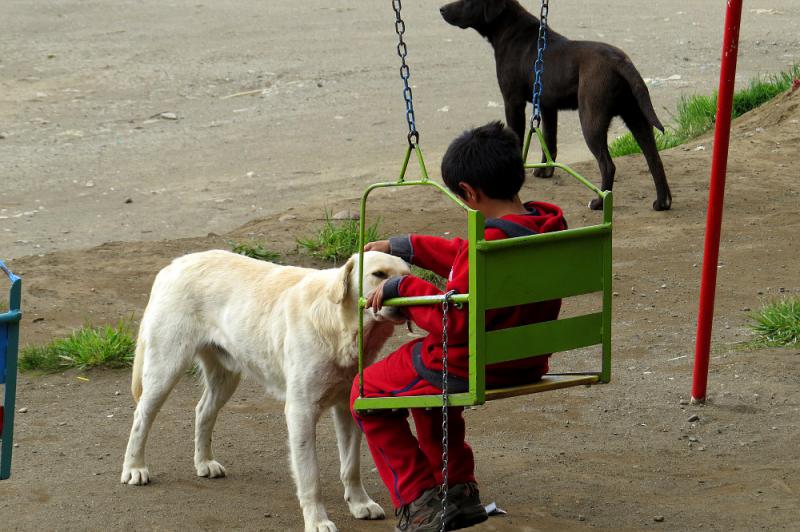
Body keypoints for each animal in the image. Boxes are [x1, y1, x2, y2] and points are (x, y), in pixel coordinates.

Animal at [122, 250, 410, 532]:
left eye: (407, 275)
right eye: (379, 274)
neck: (338, 323)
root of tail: (174, 264)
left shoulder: (347, 409)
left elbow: (351, 466)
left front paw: (360, 504)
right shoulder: (301, 412)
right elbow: (311, 478)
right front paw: (317, 521)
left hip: (225, 377)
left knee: (203, 411)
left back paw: (204, 462)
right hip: (165, 369)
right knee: (141, 418)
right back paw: (135, 468)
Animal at [440, 0, 672, 212]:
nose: (441, 9)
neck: (511, 31)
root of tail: (620, 61)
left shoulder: (512, 101)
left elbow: (518, 136)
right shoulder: (546, 105)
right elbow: (550, 140)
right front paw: (545, 171)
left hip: (591, 118)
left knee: (608, 165)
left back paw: (599, 202)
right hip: (635, 115)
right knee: (654, 159)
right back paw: (662, 202)